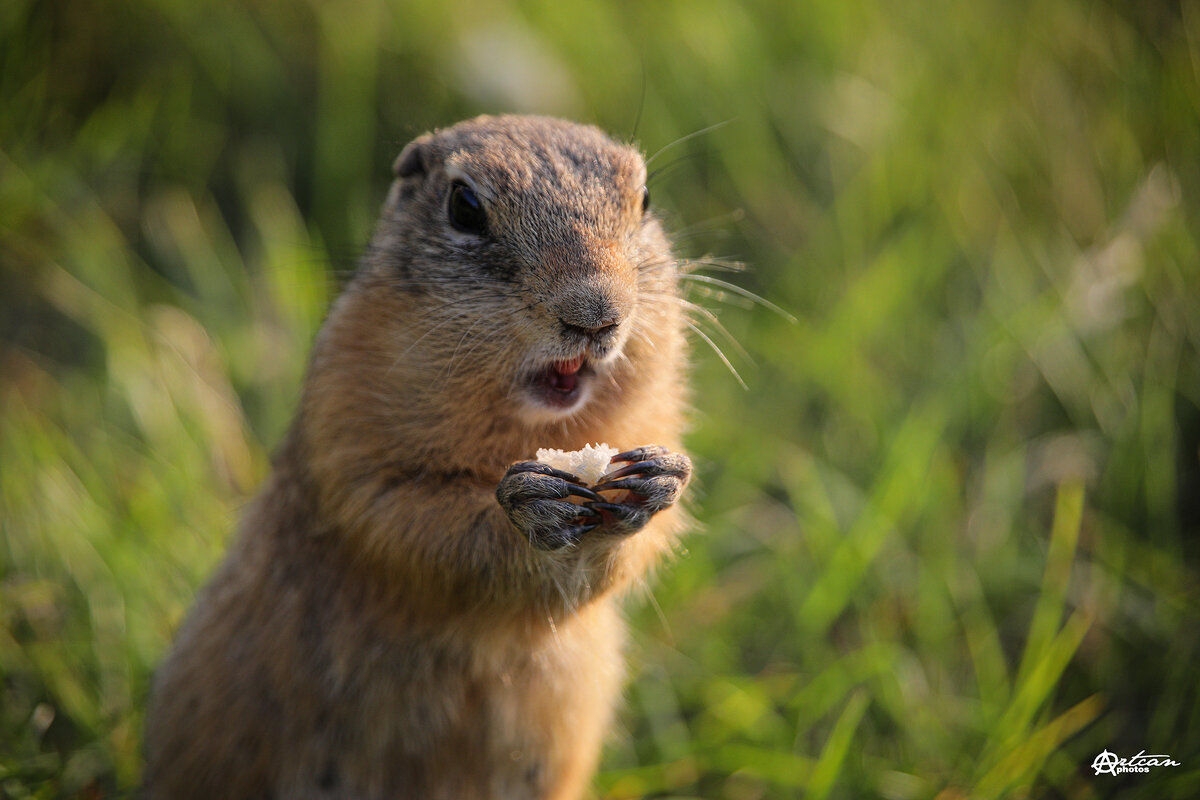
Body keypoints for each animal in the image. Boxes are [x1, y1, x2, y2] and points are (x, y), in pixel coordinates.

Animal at [144, 113, 696, 800]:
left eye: (644, 199)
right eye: (464, 207)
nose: (596, 316)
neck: (525, 422)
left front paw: (658, 480)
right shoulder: (351, 439)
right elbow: (409, 525)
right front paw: (530, 504)